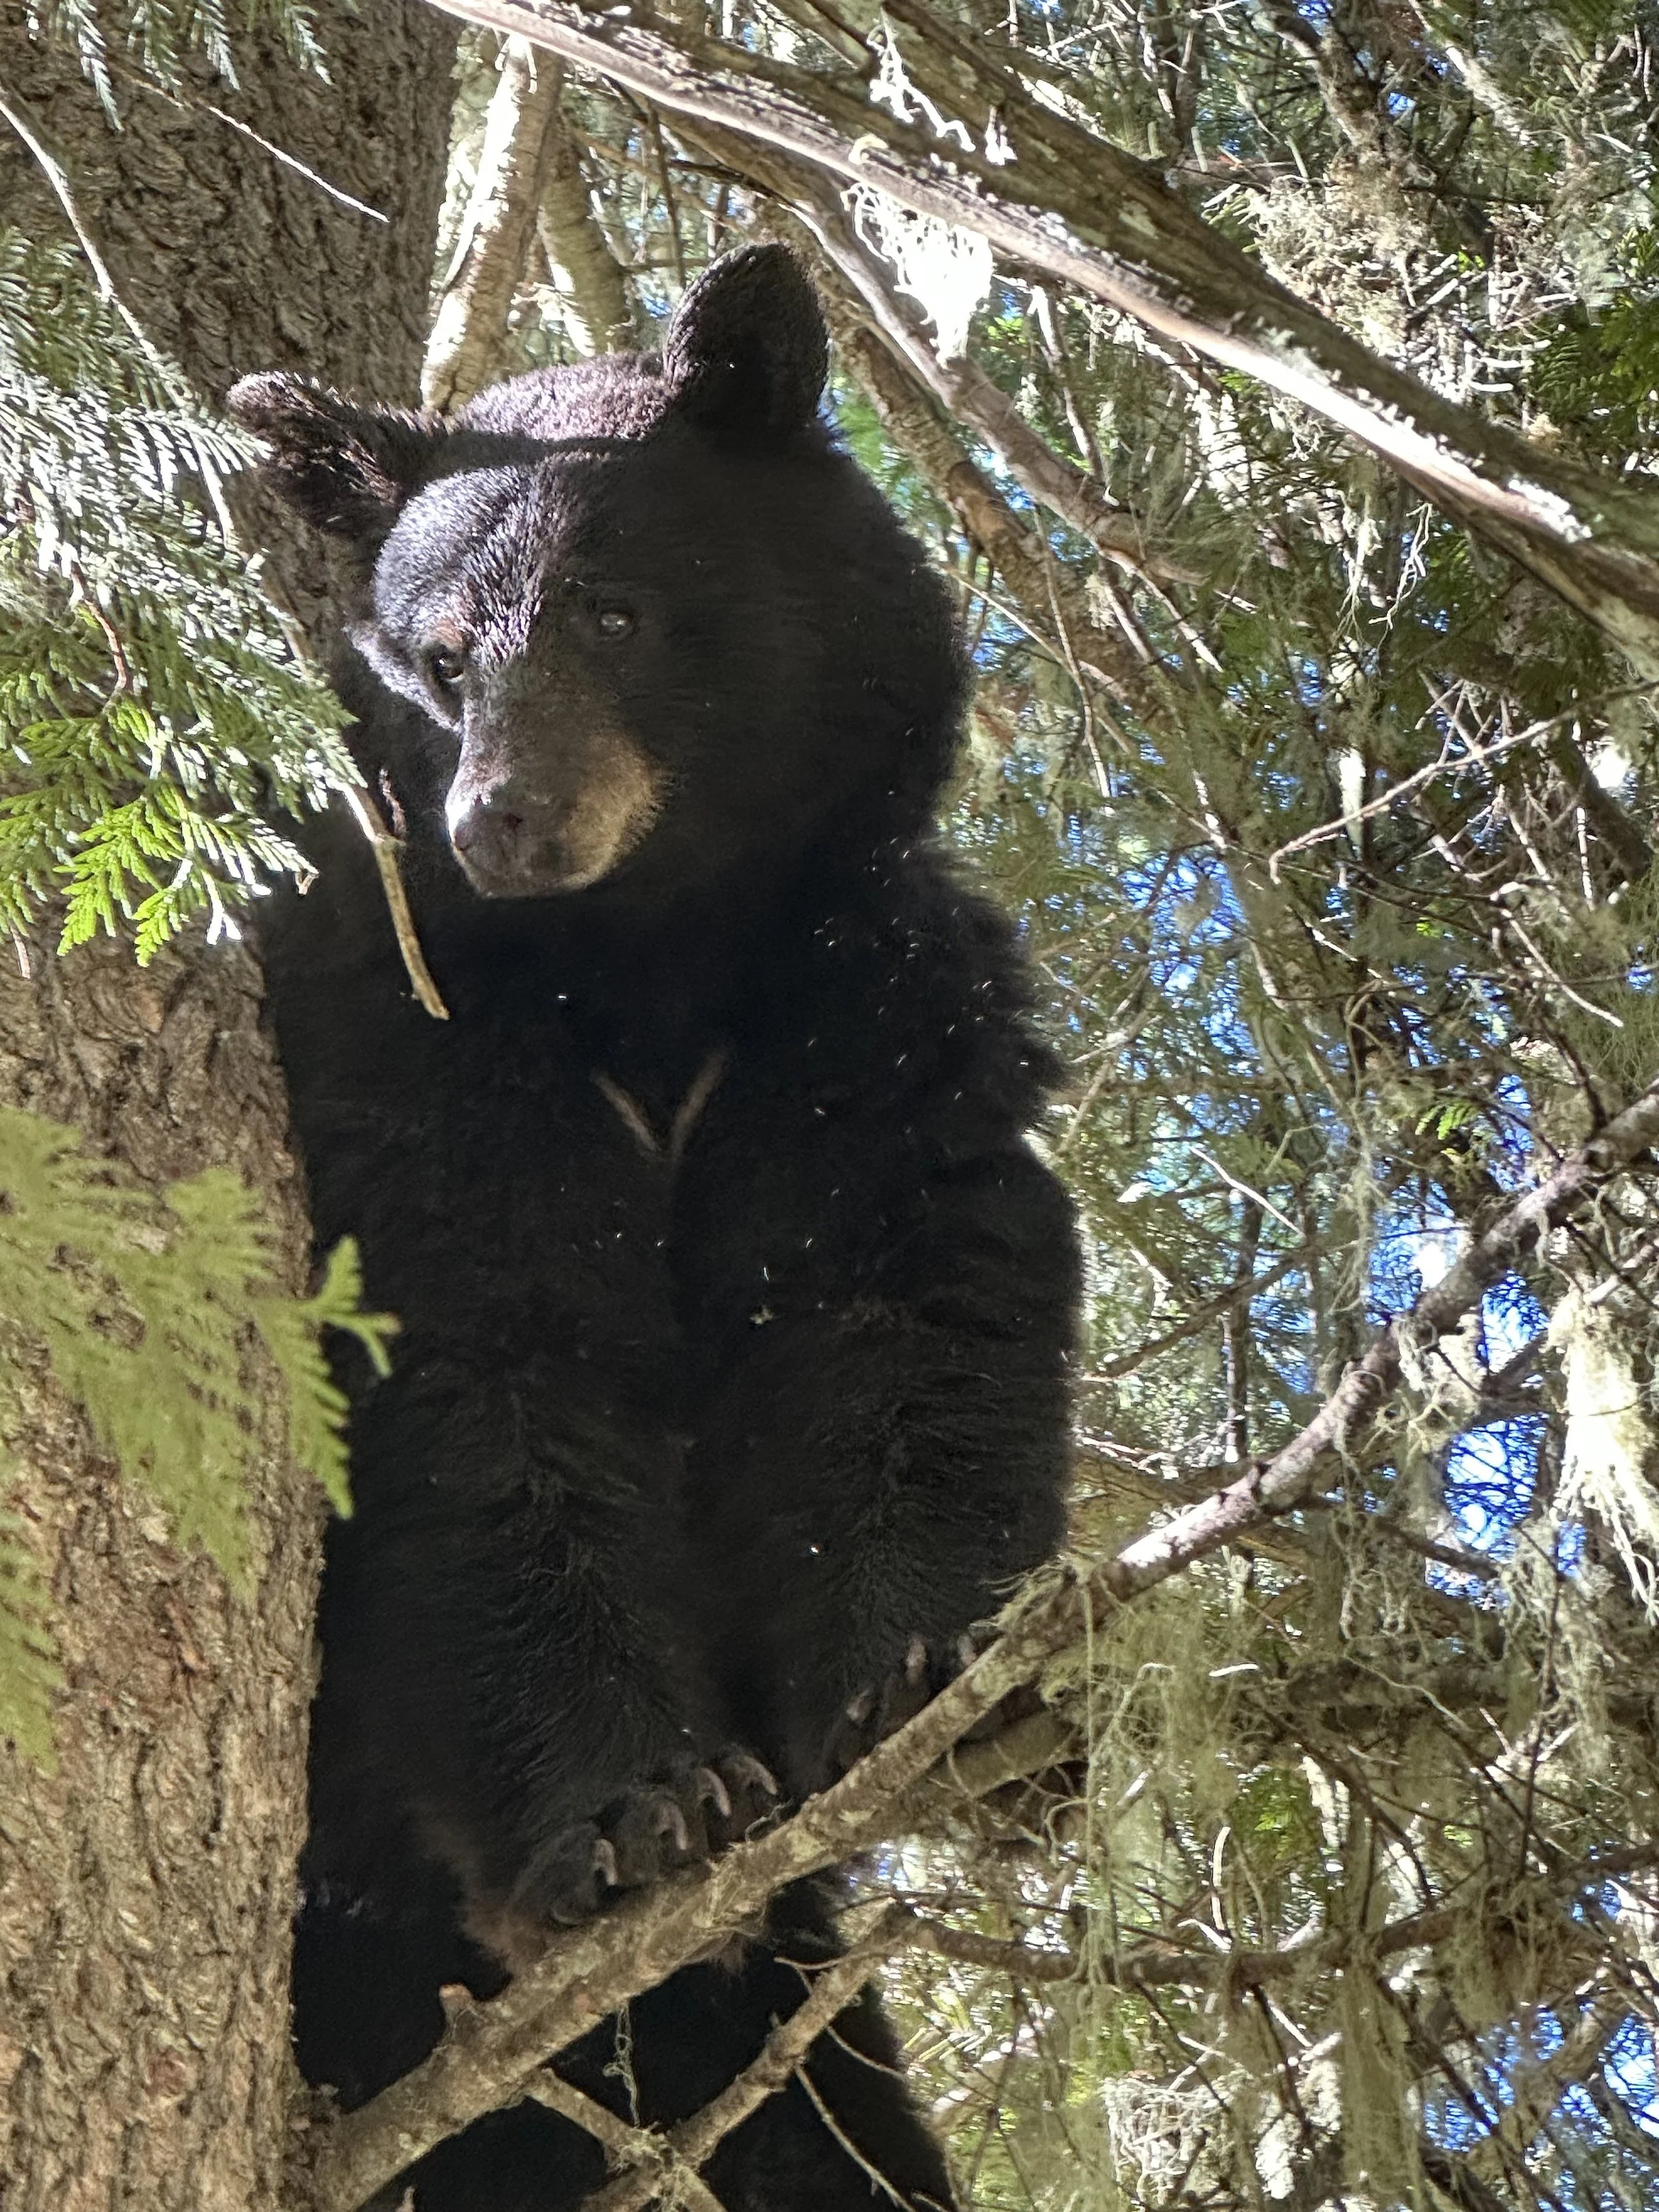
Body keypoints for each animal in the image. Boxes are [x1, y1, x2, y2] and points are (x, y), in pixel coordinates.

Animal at [230, 243, 1080, 2212]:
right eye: (438, 656)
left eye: (611, 610)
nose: (504, 820)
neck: (647, 971)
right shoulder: (422, 1052)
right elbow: (489, 1384)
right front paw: (635, 1817)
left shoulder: (855, 1008)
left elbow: (895, 1311)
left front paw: (939, 1685)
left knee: (824, 2135)